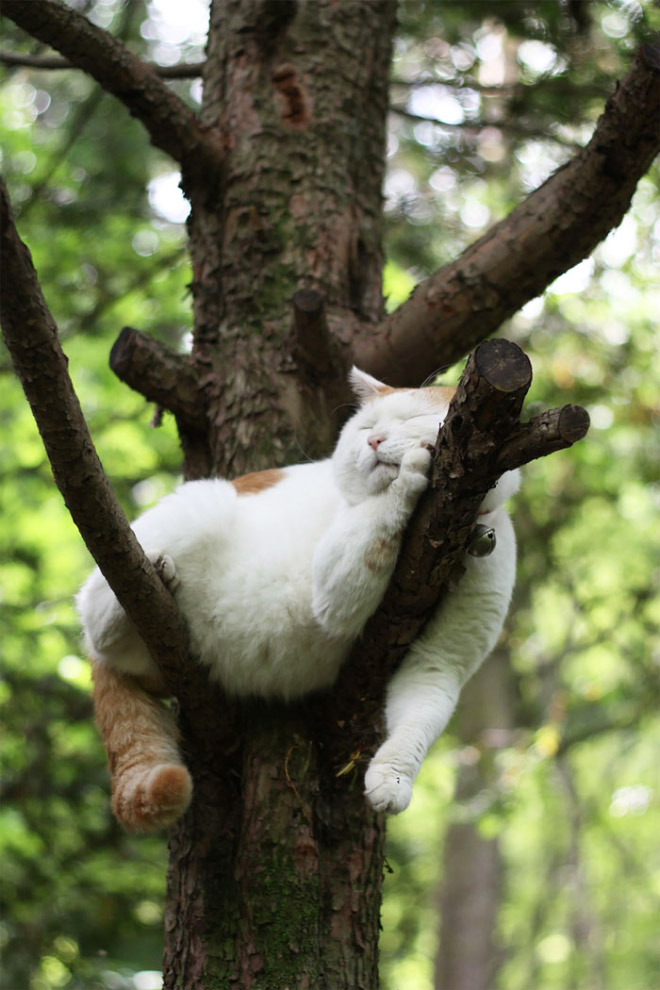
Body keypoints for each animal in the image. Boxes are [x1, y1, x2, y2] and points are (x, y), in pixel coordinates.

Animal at [77, 368, 520, 832]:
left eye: (410, 419)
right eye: (367, 427)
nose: (375, 441)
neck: (451, 536)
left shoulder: (439, 662)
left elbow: (418, 721)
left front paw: (392, 780)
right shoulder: (335, 592)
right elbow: (382, 514)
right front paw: (409, 478)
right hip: (197, 508)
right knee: (98, 607)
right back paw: (154, 572)